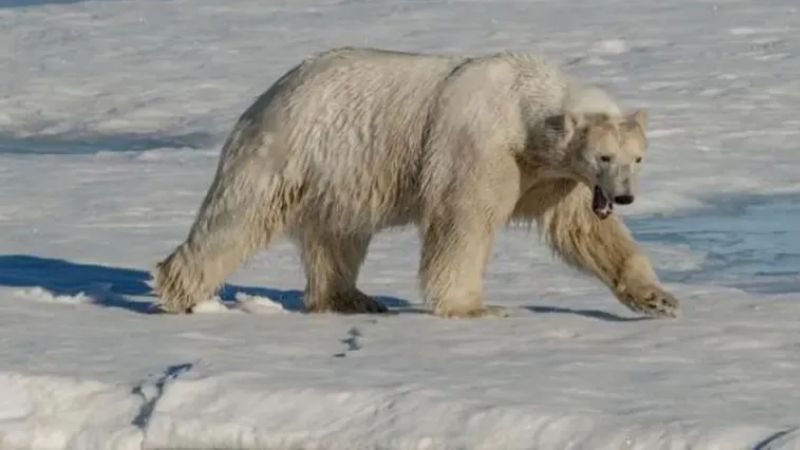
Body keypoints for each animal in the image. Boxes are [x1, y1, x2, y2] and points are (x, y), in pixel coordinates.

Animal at [155, 47, 680, 318]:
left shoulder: (555, 177)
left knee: (339, 235)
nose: (624, 196)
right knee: (235, 221)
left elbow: (586, 232)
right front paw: (475, 307)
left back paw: (352, 298)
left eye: (637, 157)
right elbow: (463, 222)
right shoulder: (480, 146)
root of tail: (269, 94)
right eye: (604, 155)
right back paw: (178, 292)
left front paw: (658, 299)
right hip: (290, 150)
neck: (524, 110)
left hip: (341, 175)